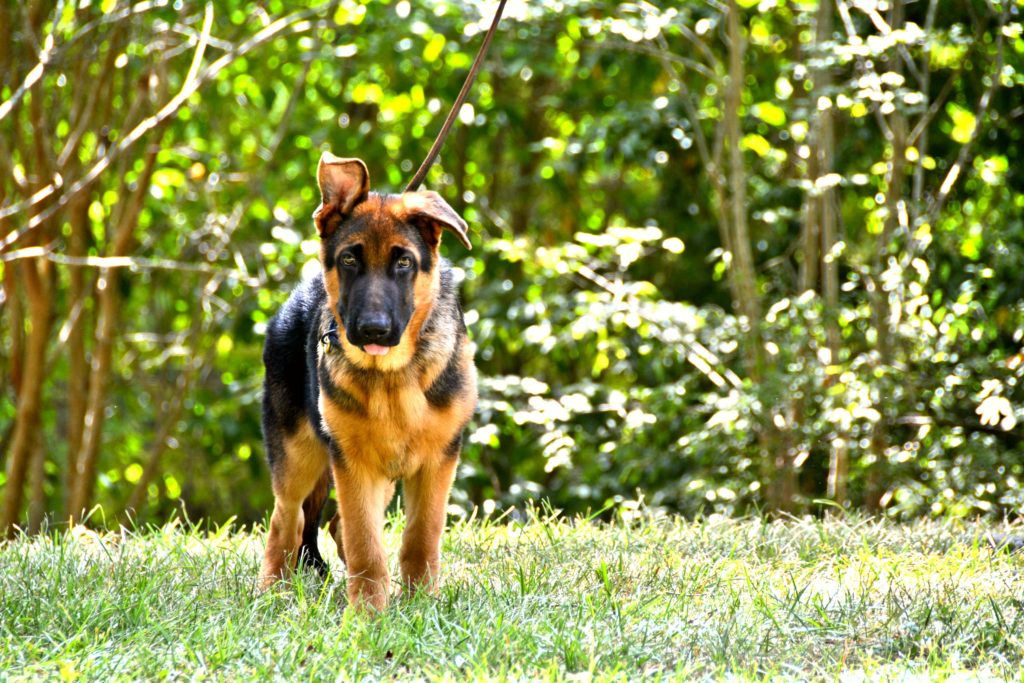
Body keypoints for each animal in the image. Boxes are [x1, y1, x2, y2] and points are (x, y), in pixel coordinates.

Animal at [260, 152, 475, 610]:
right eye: (349, 260)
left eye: (404, 262)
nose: (373, 329)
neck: (391, 376)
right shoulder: (353, 464)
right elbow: (365, 544)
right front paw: (367, 614)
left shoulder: (437, 461)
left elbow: (421, 536)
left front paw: (419, 603)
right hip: (298, 454)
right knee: (288, 520)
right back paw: (270, 592)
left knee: (331, 524)